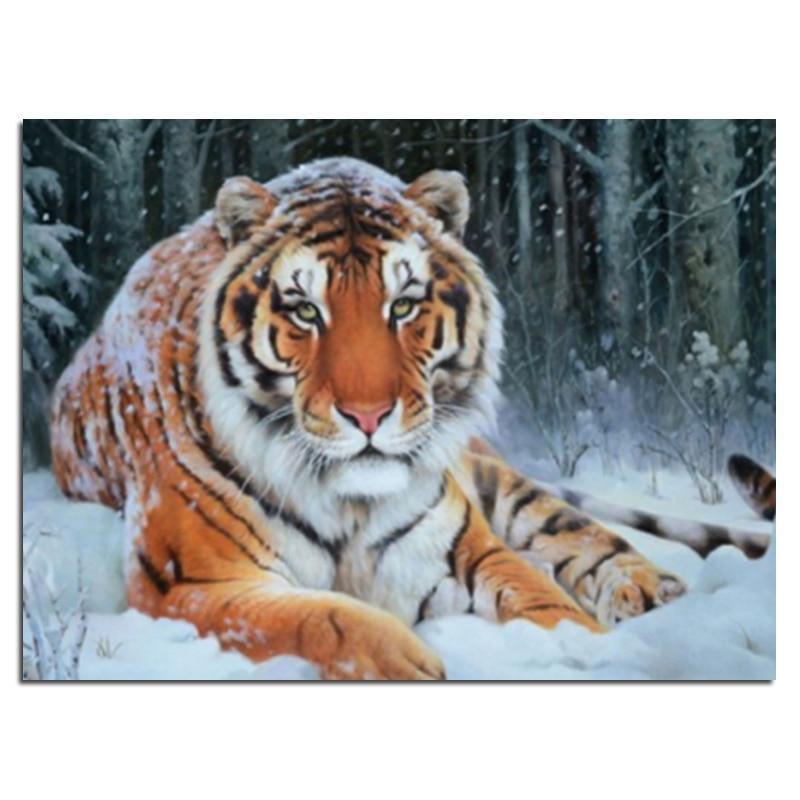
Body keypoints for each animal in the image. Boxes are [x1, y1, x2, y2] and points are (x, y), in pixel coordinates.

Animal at [53, 156, 718, 680]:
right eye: (305, 310)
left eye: (402, 305)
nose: (368, 416)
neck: (346, 503)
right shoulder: (192, 584)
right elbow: (320, 618)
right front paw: (411, 663)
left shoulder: (460, 547)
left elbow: (546, 602)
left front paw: (601, 655)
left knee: (572, 528)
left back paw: (648, 590)